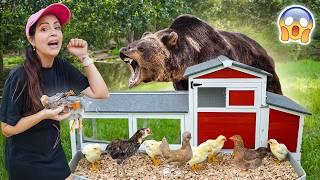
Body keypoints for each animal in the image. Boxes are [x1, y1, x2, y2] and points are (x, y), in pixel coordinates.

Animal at [120, 14, 282, 94]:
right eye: (131, 44)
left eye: (141, 48)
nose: (123, 50)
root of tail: (264, 49)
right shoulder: (180, 80)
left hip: (263, 66)